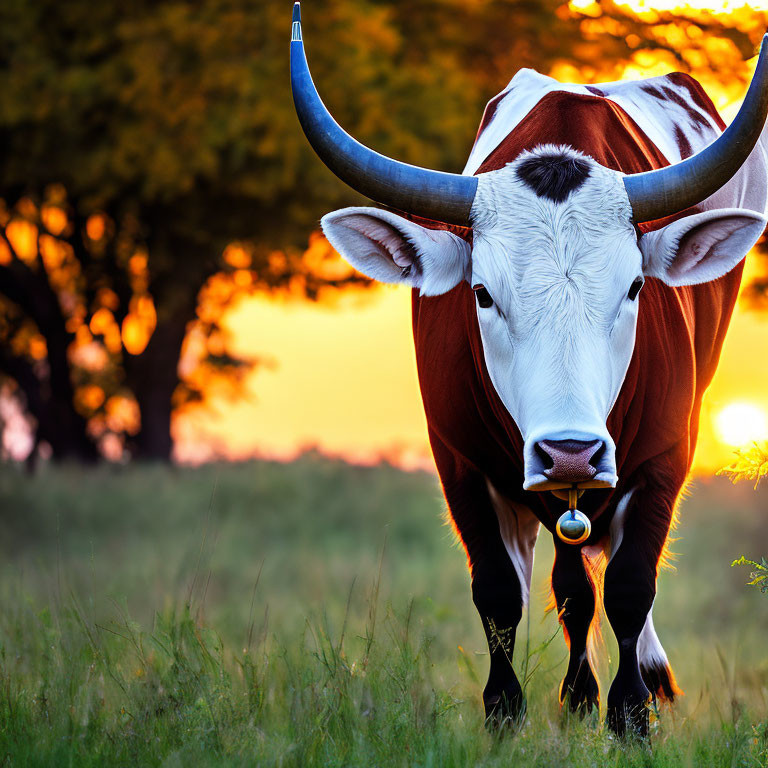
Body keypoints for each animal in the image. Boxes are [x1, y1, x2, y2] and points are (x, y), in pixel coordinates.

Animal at [288, 1, 768, 736]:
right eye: (483, 294)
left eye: (635, 288)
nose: (570, 450)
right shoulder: (460, 460)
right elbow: (500, 593)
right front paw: (508, 713)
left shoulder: (665, 454)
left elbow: (630, 584)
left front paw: (630, 713)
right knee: (569, 580)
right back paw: (577, 694)